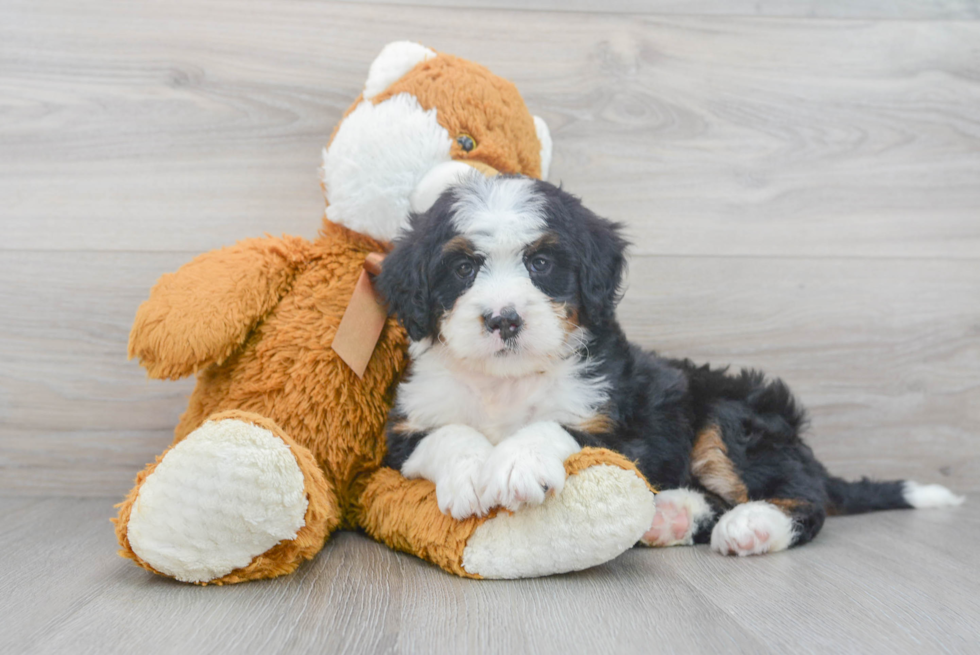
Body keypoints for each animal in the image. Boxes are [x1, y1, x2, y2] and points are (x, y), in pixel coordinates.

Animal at [378, 176, 964, 560]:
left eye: (541, 263)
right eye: (462, 268)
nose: (503, 319)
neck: (507, 381)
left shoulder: (626, 427)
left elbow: (555, 427)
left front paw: (516, 462)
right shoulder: (401, 435)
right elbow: (447, 433)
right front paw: (471, 473)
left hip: (734, 415)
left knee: (805, 497)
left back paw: (754, 524)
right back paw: (670, 516)